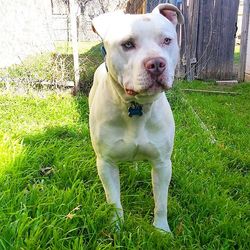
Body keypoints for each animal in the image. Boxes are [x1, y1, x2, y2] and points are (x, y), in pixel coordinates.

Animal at [89, 3, 183, 232]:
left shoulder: (162, 164)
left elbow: (161, 202)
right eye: (128, 44)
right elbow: (114, 201)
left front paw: (161, 230)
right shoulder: (106, 164)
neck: (137, 106)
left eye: (167, 40)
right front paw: (117, 229)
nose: (156, 63)